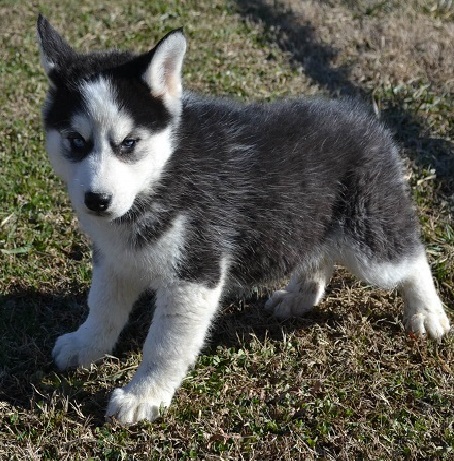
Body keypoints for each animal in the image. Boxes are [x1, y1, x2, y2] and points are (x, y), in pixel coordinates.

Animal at [39, 14, 450, 424]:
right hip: (307, 217)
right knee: (318, 254)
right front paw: (86, 344)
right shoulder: (114, 258)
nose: (97, 201)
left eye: (128, 143)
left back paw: (427, 312)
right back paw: (299, 296)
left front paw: (144, 394)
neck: (164, 172)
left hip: (371, 243)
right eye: (76, 141)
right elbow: (102, 306)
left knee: (410, 257)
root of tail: (363, 114)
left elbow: (164, 345)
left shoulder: (195, 274)